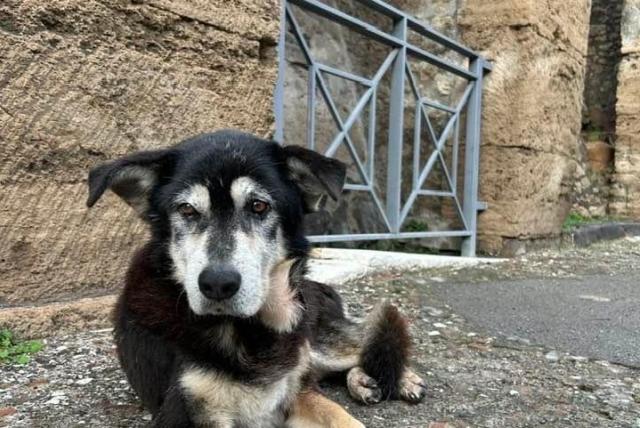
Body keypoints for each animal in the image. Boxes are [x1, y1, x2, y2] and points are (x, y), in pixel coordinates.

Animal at [85, 131, 424, 428]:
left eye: (258, 205)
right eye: (187, 209)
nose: (217, 284)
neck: (248, 330)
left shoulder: (296, 393)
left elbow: (344, 417)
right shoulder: (189, 411)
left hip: (314, 342)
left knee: (362, 341)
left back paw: (399, 378)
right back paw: (365, 380)